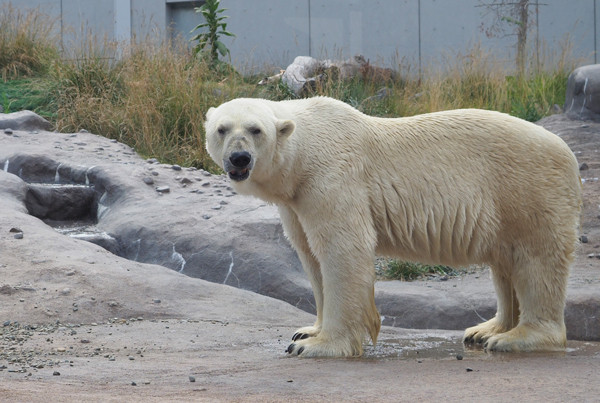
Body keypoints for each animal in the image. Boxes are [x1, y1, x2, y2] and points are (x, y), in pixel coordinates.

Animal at [205, 96, 580, 358]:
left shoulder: (332, 178)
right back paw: (485, 330)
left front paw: (318, 346)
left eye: (255, 130)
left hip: (528, 188)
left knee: (536, 261)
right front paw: (307, 331)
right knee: (505, 262)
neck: (304, 153)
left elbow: (343, 249)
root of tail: (569, 154)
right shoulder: (297, 201)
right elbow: (310, 255)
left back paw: (518, 337)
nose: (239, 158)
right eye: (222, 129)